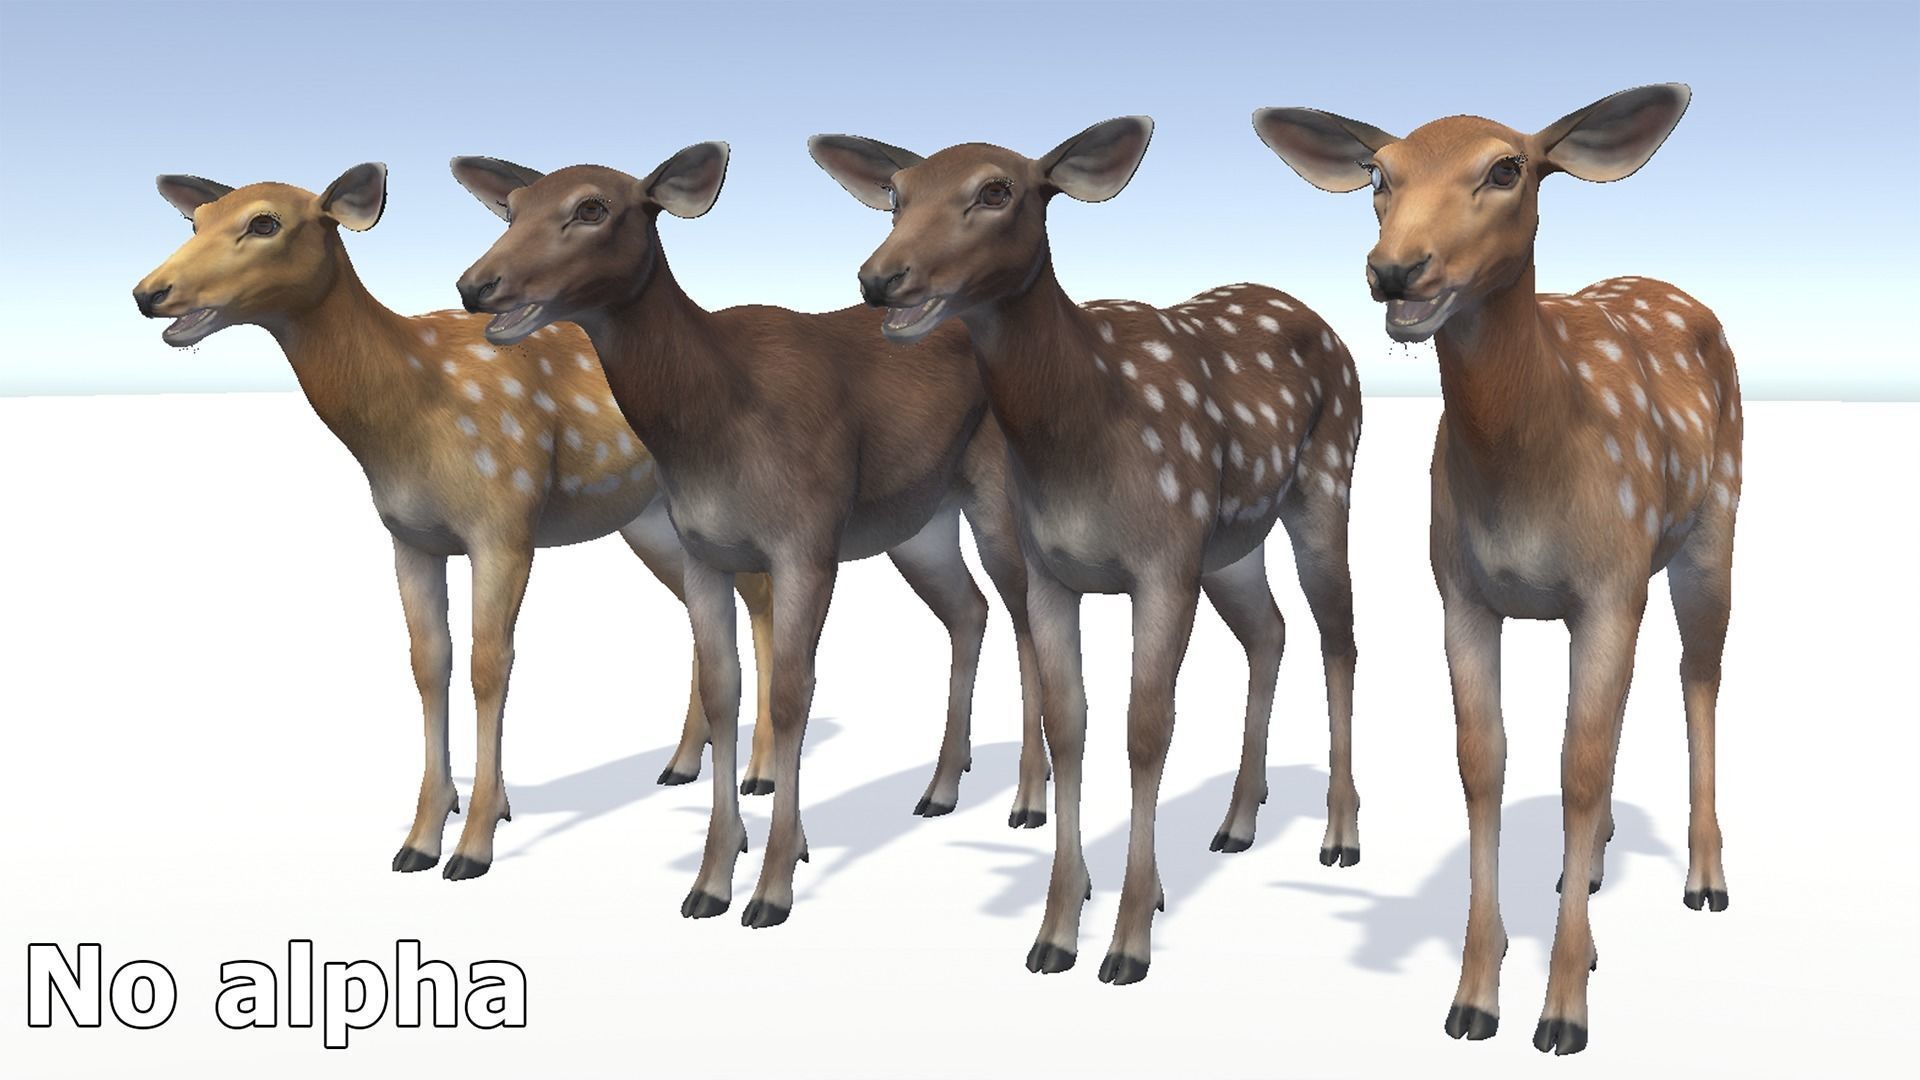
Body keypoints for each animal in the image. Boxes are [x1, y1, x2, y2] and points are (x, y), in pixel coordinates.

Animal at [131, 162, 781, 882]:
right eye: (196, 221)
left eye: (265, 222)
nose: (149, 292)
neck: (409, 414)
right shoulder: (409, 537)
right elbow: (428, 662)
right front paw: (423, 834)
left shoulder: (504, 520)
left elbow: (489, 663)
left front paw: (473, 842)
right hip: (647, 517)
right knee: (700, 613)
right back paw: (681, 763)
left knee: (759, 594)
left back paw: (759, 772)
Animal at [449, 142, 1051, 929]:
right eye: (513, 208)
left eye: (592, 207)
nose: (476, 285)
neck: (717, 421)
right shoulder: (704, 550)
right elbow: (723, 691)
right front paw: (710, 880)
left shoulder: (808, 541)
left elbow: (795, 692)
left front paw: (772, 886)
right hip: (915, 523)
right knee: (968, 609)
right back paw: (941, 787)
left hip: (995, 497)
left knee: (1024, 613)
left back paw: (1029, 801)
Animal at [812, 116, 1364, 985]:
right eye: (896, 195)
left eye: (997, 189)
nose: (880, 278)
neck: (1088, 426)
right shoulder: (1051, 570)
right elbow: (1068, 724)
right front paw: (1055, 933)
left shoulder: (1163, 561)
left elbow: (1147, 729)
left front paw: (1129, 941)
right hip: (1230, 541)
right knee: (1269, 630)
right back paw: (1238, 821)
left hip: (1325, 478)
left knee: (1337, 636)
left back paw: (1340, 837)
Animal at [1254, 83, 1739, 1054]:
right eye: (1379, 174)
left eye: (1507, 167)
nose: (1396, 270)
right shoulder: (1461, 591)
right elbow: (1485, 761)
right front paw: (1475, 997)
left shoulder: (1608, 585)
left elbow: (1577, 764)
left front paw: (1562, 1013)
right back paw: (1587, 874)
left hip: (1714, 521)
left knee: (1698, 674)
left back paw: (1704, 880)